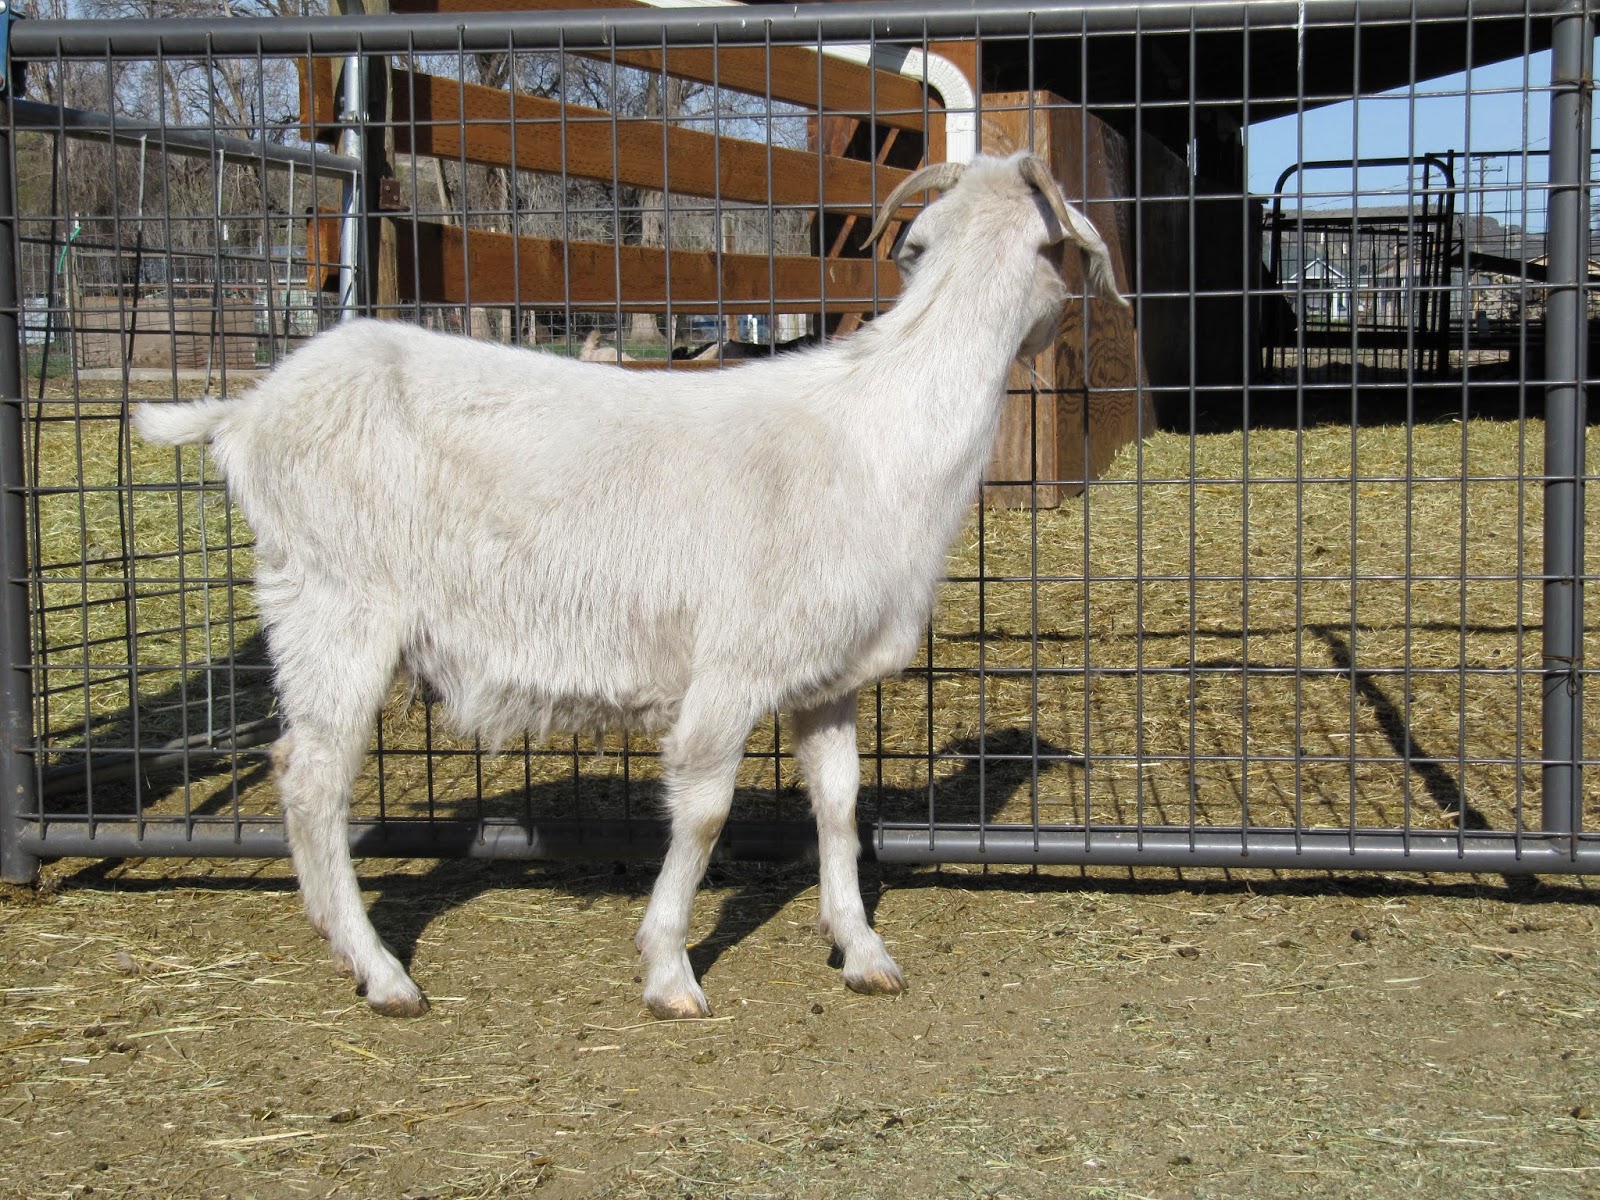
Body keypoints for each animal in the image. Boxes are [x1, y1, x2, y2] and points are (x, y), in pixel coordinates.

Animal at [135, 152, 1127, 1020]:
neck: (877, 434)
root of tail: (247, 410)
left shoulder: (827, 679)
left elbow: (841, 807)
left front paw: (862, 950)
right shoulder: (729, 671)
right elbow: (704, 815)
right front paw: (668, 971)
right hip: (335, 600)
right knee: (311, 779)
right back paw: (380, 973)